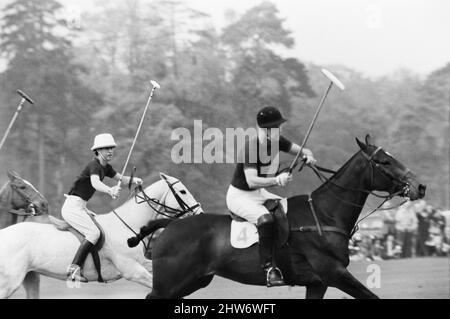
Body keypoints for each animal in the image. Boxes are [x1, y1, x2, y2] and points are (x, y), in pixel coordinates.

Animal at [0, 174, 202, 298]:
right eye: (182, 191)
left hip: (30, 277)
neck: (128, 225)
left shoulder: (142, 262)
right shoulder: (132, 271)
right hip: (9, 282)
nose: (199, 212)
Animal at [130, 136, 426, 300]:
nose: (420, 187)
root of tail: (171, 224)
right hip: (169, 283)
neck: (323, 214)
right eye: (385, 162)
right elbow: (371, 296)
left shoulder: (317, 283)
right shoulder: (334, 273)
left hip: (193, 281)